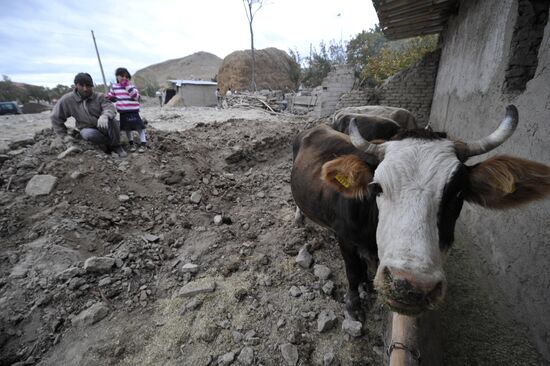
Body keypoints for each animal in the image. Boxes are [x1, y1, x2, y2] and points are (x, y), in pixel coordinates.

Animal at [292, 104, 548, 318]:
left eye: (458, 193)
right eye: (377, 187)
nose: (410, 286)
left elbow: (365, 270)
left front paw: (367, 286)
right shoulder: (345, 239)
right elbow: (353, 272)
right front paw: (354, 307)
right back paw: (298, 219)